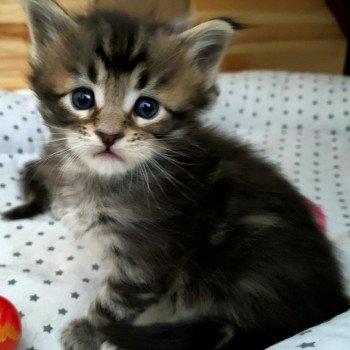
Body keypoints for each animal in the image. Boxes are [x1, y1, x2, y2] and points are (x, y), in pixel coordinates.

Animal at [4, 0, 348, 350]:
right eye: (82, 99)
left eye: (146, 108)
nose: (108, 135)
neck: (104, 180)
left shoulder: (148, 258)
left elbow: (113, 302)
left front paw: (88, 330)